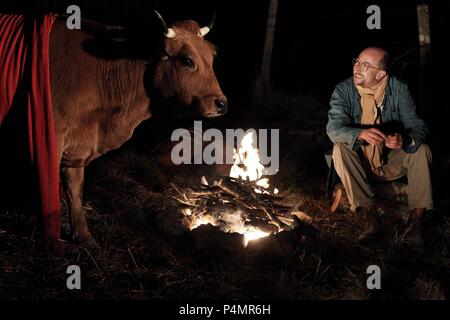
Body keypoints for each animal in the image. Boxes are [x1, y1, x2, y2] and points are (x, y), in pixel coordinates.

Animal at [49, 12, 227, 246]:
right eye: (187, 60)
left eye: (211, 59)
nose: (221, 104)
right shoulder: (55, 133)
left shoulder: (79, 144)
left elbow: (75, 186)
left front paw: (83, 235)